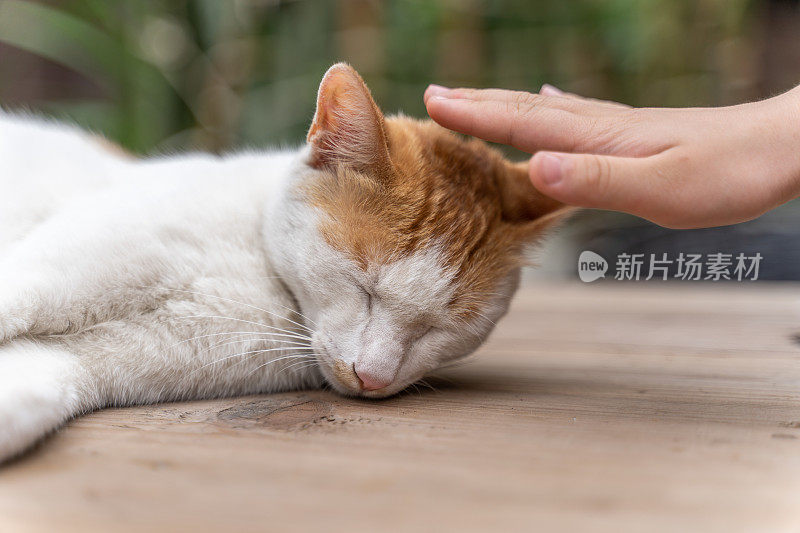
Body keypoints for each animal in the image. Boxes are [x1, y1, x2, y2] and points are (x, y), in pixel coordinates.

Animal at [0, 63, 568, 462]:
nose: (373, 377)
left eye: (442, 327)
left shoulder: (102, 359)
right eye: (363, 286)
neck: (266, 281)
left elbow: (34, 387)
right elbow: (18, 299)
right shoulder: (59, 265)